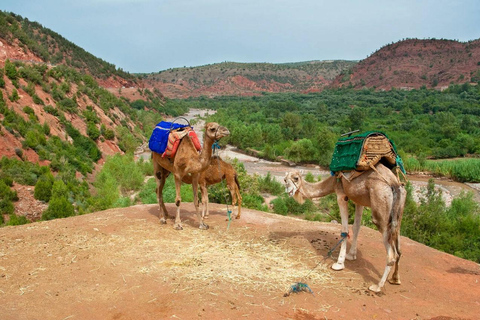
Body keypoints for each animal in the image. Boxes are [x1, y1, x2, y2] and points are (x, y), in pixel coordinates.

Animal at [284, 164, 406, 292]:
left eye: (296, 178)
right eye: (285, 180)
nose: (288, 190)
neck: (332, 181)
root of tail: (394, 183)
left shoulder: (341, 195)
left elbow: (344, 230)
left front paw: (339, 264)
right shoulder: (359, 200)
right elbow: (356, 227)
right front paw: (351, 255)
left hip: (381, 209)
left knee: (391, 253)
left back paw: (377, 286)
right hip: (399, 209)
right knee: (398, 243)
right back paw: (395, 279)